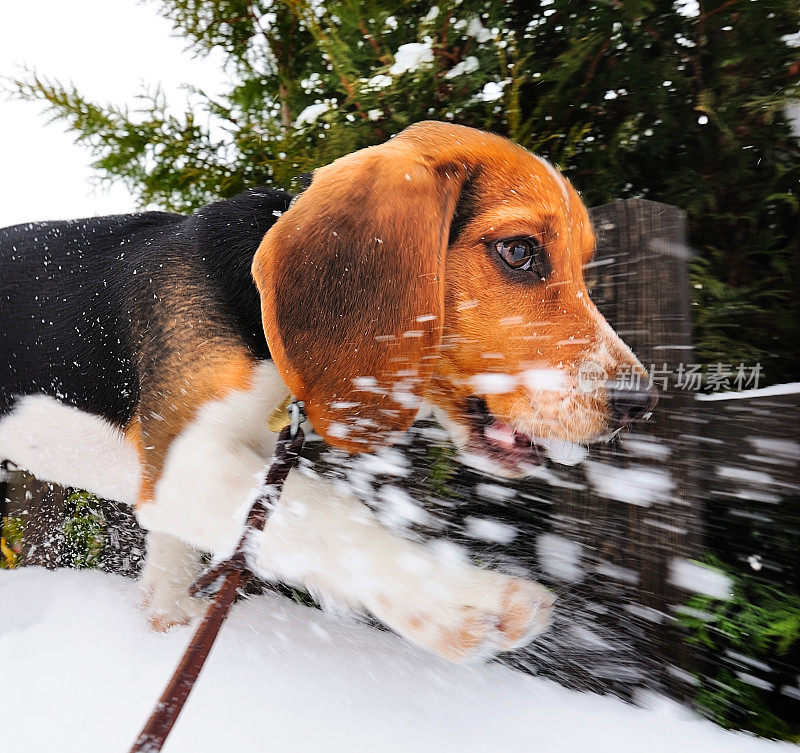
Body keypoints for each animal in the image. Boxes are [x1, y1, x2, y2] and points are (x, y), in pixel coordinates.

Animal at [0, 123, 656, 664]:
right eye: (519, 251)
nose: (639, 402)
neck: (253, 305)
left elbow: (175, 562)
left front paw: (169, 624)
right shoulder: (186, 462)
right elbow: (327, 514)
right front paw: (464, 604)